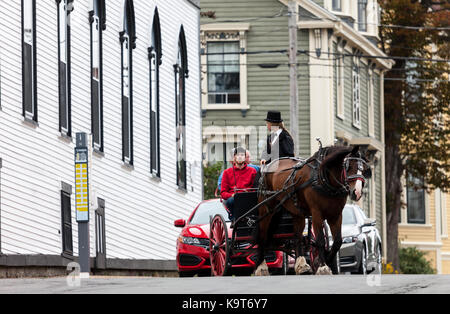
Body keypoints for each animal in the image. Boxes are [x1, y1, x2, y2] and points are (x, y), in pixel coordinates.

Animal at [253, 145, 372, 274]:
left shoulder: (336, 215)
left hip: (297, 212)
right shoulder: (316, 213)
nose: (357, 192)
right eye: (348, 166)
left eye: (364, 169)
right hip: (266, 208)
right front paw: (323, 266)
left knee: (297, 237)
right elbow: (320, 240)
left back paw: (301, 265)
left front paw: (326, 260)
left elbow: (337, 242)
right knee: (262, 236)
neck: (323, 180)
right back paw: (261, 267)